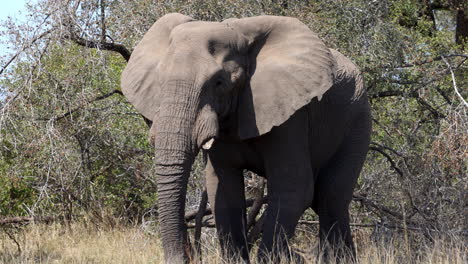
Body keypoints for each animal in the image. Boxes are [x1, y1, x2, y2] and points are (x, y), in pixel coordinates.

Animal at [122, 12, 372, 264]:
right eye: (159, 81)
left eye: (219, 83)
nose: (187, 255)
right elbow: (223, 192)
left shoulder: (291, 115)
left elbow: (294, 189)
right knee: (326, 202)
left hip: (357, 120)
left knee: (331, 198)